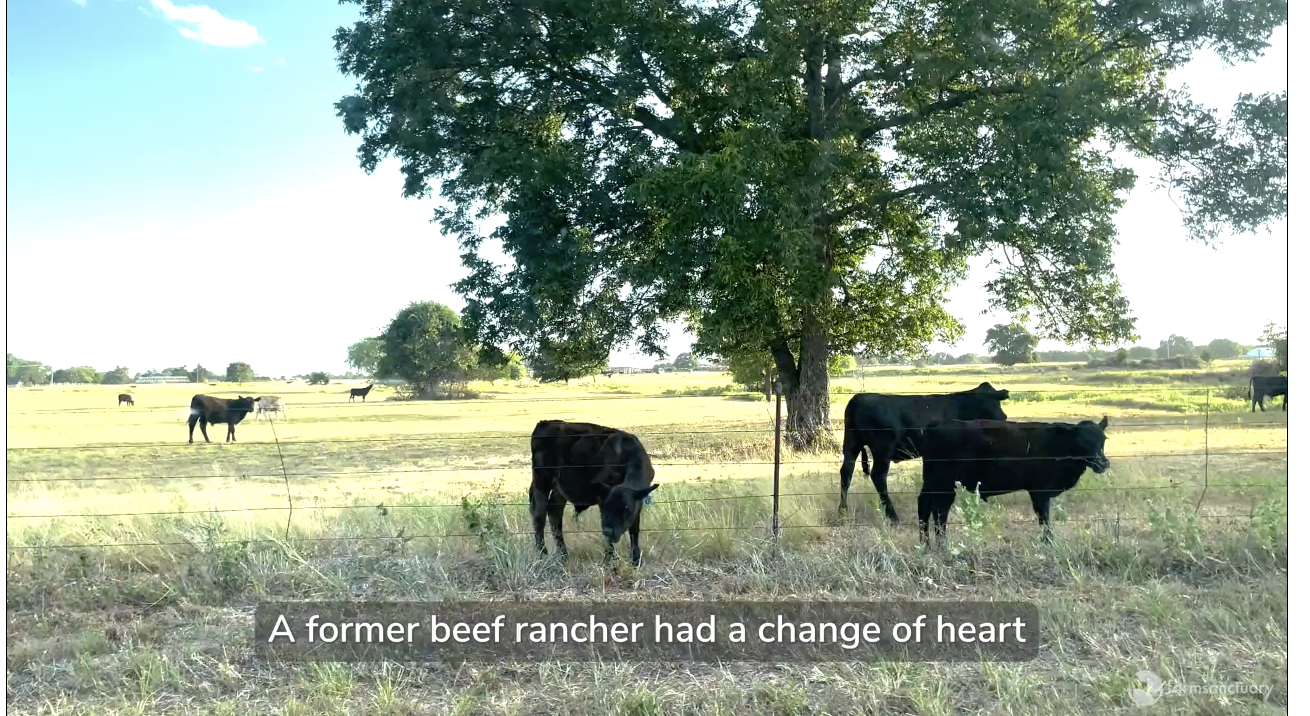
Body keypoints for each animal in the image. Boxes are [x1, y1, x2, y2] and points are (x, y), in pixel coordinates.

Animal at [529, 419, 658, 566]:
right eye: (607, 507)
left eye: (627, 508)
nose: (609, 531)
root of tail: (546, 422)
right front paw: (609, 559)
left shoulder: (638, 502)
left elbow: (634, 529)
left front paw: (636, 560)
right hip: (542, 481)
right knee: (539, 516)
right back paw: (542, 555)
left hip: (559, 489)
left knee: (554, 513)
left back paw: (563, 555)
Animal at [838, 382, 1011, 521]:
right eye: (995, 405)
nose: (1004, 419)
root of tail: (859, 398)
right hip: (882, 449)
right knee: (878, 476)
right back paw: (893, 516)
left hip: (852, 444)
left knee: (846, 472)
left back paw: (843, 510)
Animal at [915, 417, 1110, 545]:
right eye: (1082, 441)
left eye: (1103, 439)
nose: (1103, 463)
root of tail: (936, 425)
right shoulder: (1039, 491)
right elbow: (1044, 518)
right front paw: (1048, 542)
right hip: (944, 483)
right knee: (939, 511)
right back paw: (941, 546)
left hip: (933, 482)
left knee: (926, 506)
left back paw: (926, 544)